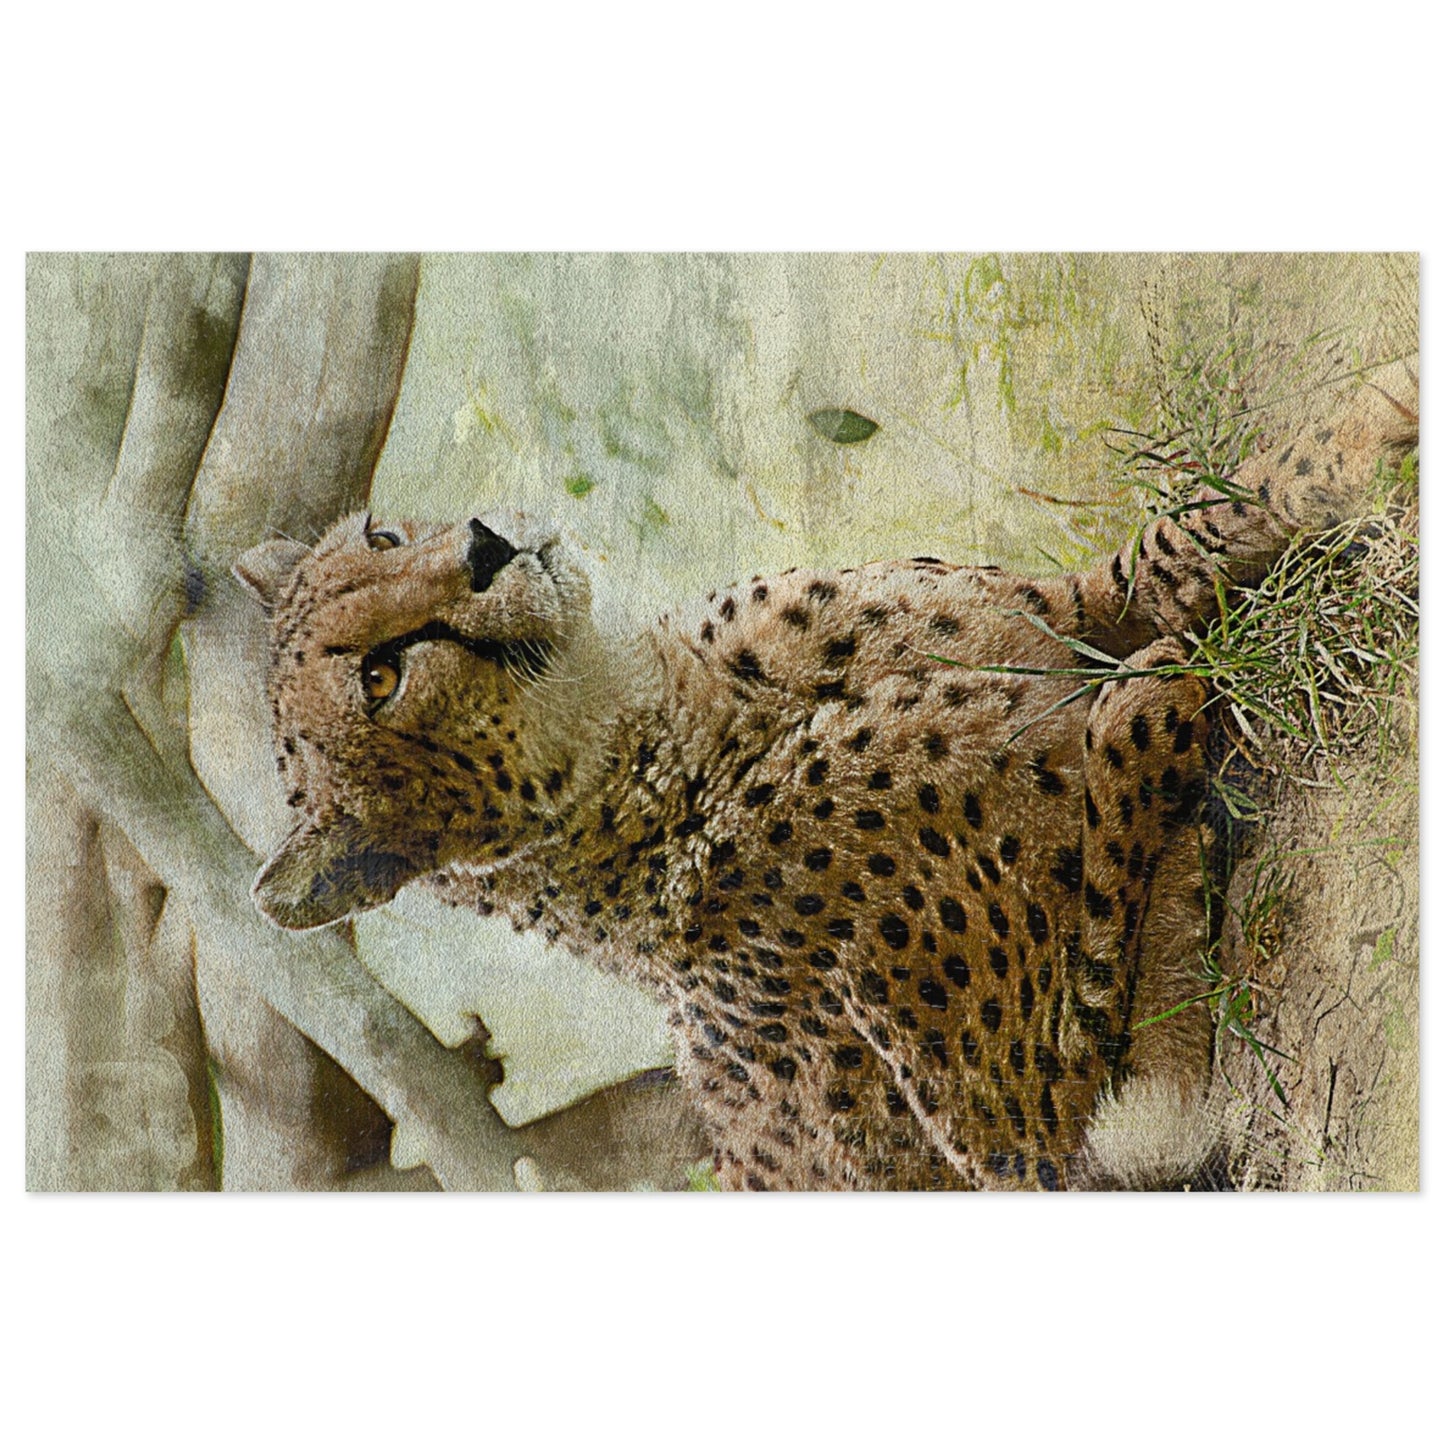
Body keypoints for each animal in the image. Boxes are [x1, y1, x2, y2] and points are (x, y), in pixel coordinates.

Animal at [236, 359, 1417, 1190]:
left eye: (383, 532)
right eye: (380, 679)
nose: (485, 545)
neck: (666, 724)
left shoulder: (1061, 611)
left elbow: (1193, 527)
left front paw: (1377, 414)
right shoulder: (1027, 1137)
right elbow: (1115, 795)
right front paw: (1153, 709)